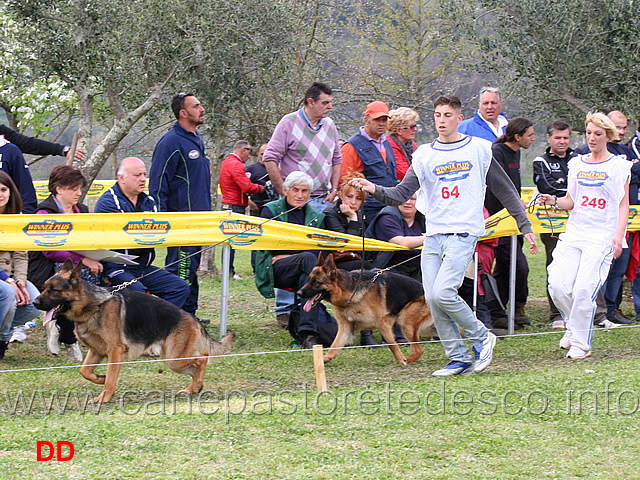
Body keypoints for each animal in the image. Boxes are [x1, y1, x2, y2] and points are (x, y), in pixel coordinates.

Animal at [31, 260, 232, 404]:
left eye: (53, 290)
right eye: (44, 288)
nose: (34, 302)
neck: (94, 306)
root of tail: (193, 318)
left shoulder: (115, 352)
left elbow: (110, 379)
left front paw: (104, 397)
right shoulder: (96, 351)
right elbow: (84, 371)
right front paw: (100, 378)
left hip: (175, 358)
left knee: (203, 356)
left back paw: (196, 385)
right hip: (173, 361)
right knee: (195, 366)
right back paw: (193, 388)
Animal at [298, 255, 438, 364]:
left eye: (316, 282)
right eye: (308, 280)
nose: (299, 293)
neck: (350, 293)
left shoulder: (383, 323)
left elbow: (391, 344)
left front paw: (400, 360)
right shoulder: (345, 327)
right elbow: (334, 346)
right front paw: (323, 360)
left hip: (405, 322)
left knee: (419, 350)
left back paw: (407, 360)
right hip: (423, 328)